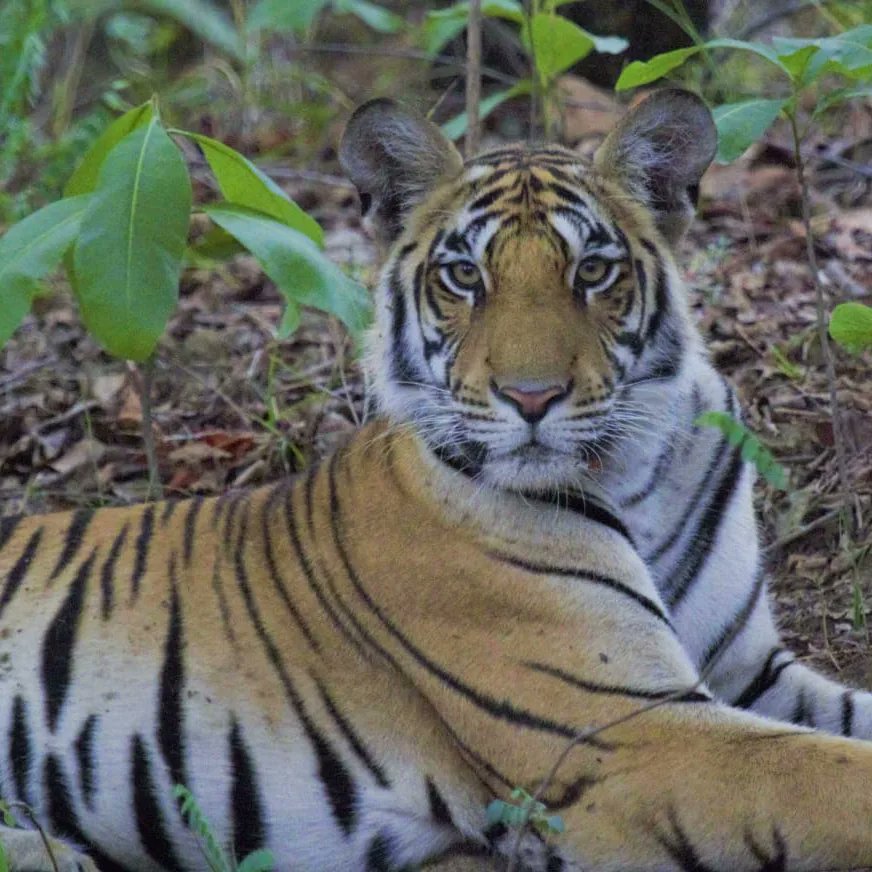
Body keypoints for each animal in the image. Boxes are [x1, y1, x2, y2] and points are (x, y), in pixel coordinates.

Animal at [2, 88, 872, 872]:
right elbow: (832, 777)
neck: (637, 472)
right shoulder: (622, 730)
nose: (531, 397)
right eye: (463, 276)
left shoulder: (747, 670)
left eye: (593, 271)